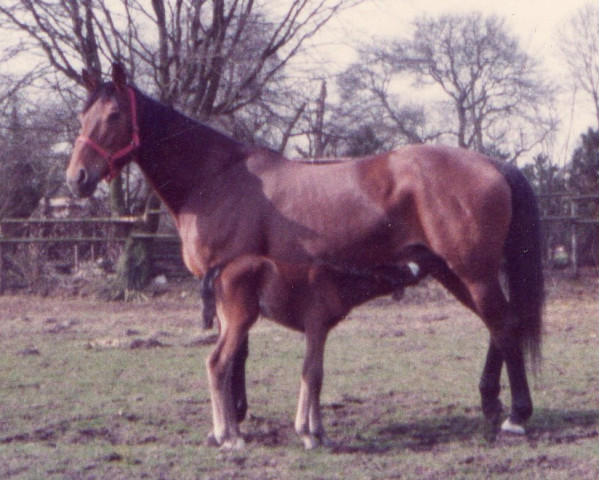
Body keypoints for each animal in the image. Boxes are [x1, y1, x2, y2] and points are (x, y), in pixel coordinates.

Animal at [65, 63, 544, 450]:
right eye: (82, 115)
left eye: (113, 115)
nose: (77, 178)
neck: (215, 177)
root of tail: (494, 165)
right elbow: (234, 353)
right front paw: (234, 420)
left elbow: (237, 354)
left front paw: (236, 422)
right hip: (452, 272)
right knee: (498, 326)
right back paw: (490, 403)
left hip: (473, 271)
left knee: (504, 325)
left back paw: (516, 417)